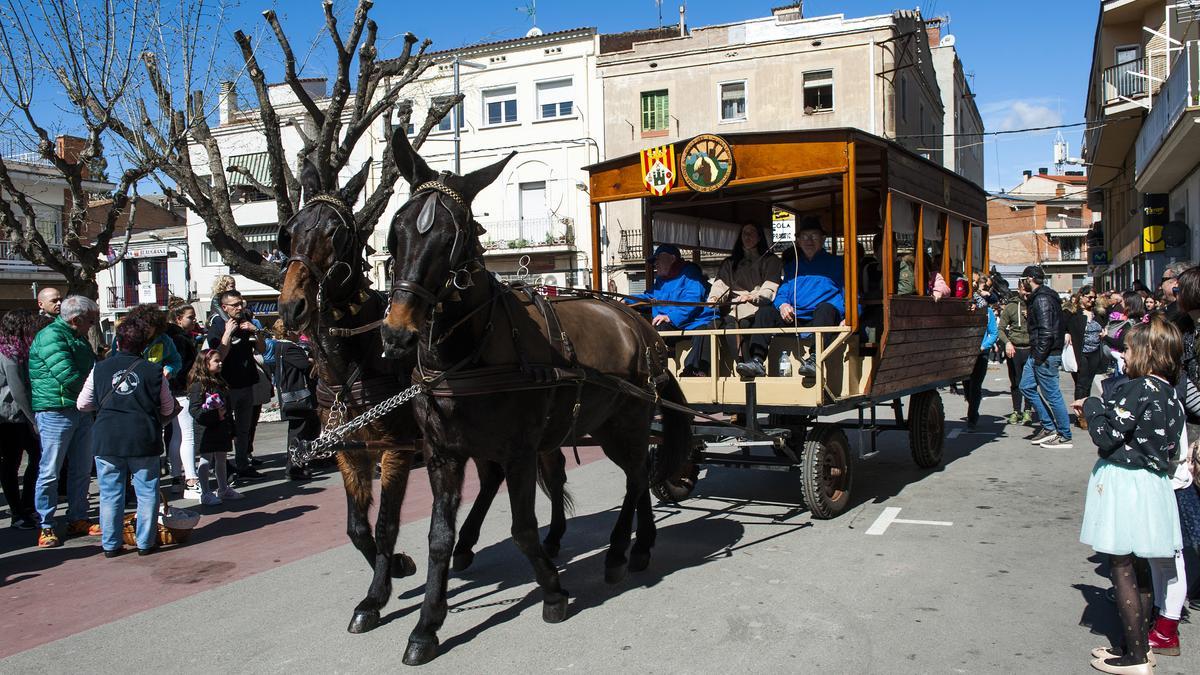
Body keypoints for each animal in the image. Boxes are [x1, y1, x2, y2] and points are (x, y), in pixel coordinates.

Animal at [374, 128, 696, 662]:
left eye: (454, 236)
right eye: (397, 229)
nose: (397, 333)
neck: (471, 354)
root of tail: (642, 324)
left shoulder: (520, 453)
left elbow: (523, 528)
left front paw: (553, 591)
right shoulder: (444, 455)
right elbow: (439, 538)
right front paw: (427, 625)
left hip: (626, 425)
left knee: (635, 478)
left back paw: (620, 550)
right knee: (637, 477)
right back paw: (641, 544)